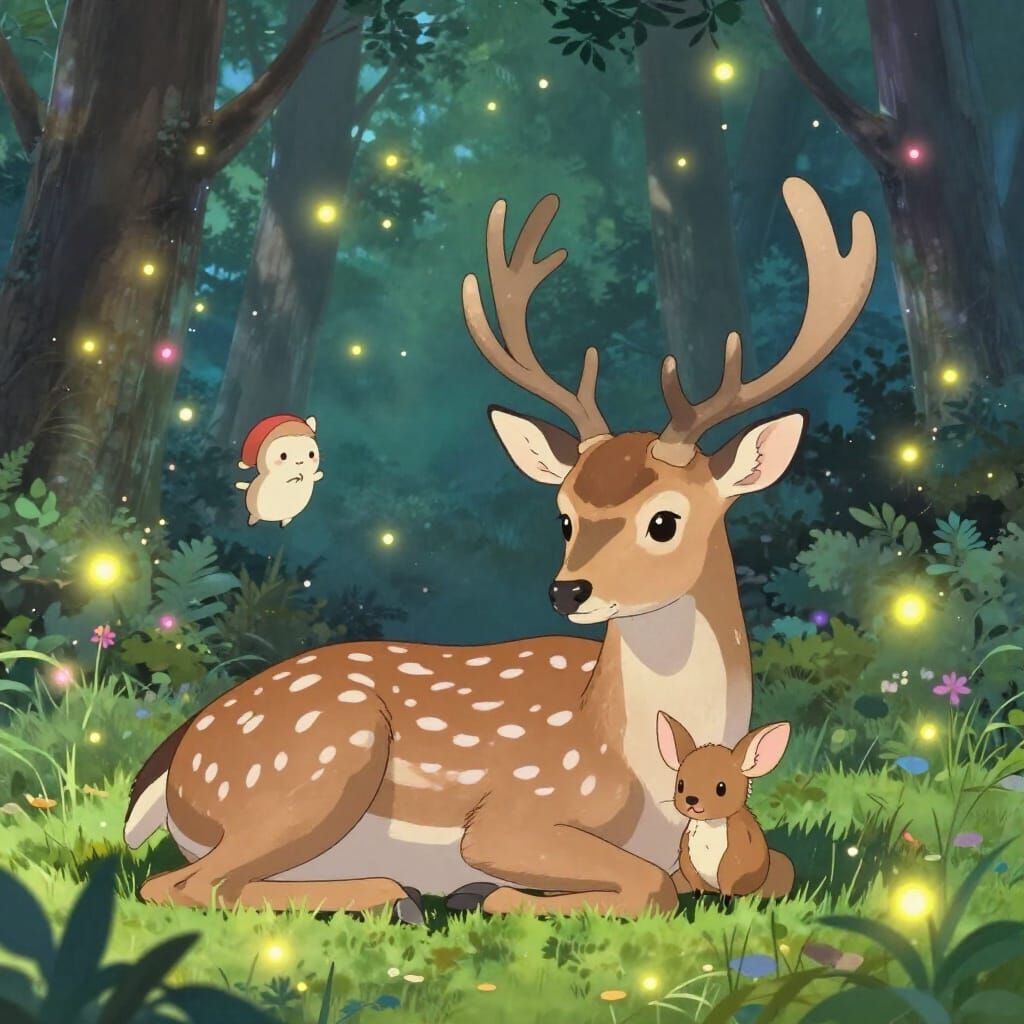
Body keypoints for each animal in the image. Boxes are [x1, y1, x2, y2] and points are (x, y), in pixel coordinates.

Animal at [124, 177, 876, 922]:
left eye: (665, 520)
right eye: (564, 517)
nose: (567, 590)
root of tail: (170, 763)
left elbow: (769, 870)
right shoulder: (509, 816)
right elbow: (647, 887)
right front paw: (500, 894)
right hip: (320, 756)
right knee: (185, 885)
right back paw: (398, 896)